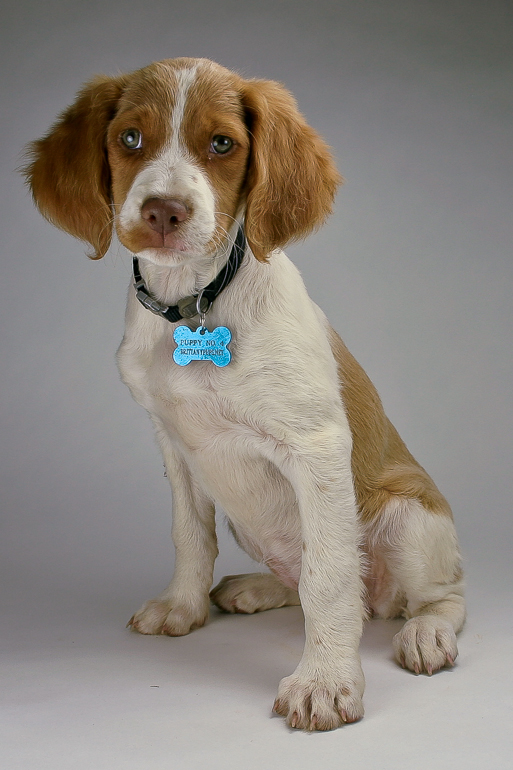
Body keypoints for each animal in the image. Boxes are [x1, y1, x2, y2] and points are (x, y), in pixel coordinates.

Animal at [24, 57, 464, 728]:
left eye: (222, 145)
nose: (164, 212)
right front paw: (182, 606)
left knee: (436, 595)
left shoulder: (316, 447)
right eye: (130, 138)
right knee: (303, 575)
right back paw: (257, 587)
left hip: (409, 518)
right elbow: (190, 535)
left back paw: (426, 632)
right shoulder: (174, 444)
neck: (192, 304)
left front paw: (326, 681)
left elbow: (330, 576)